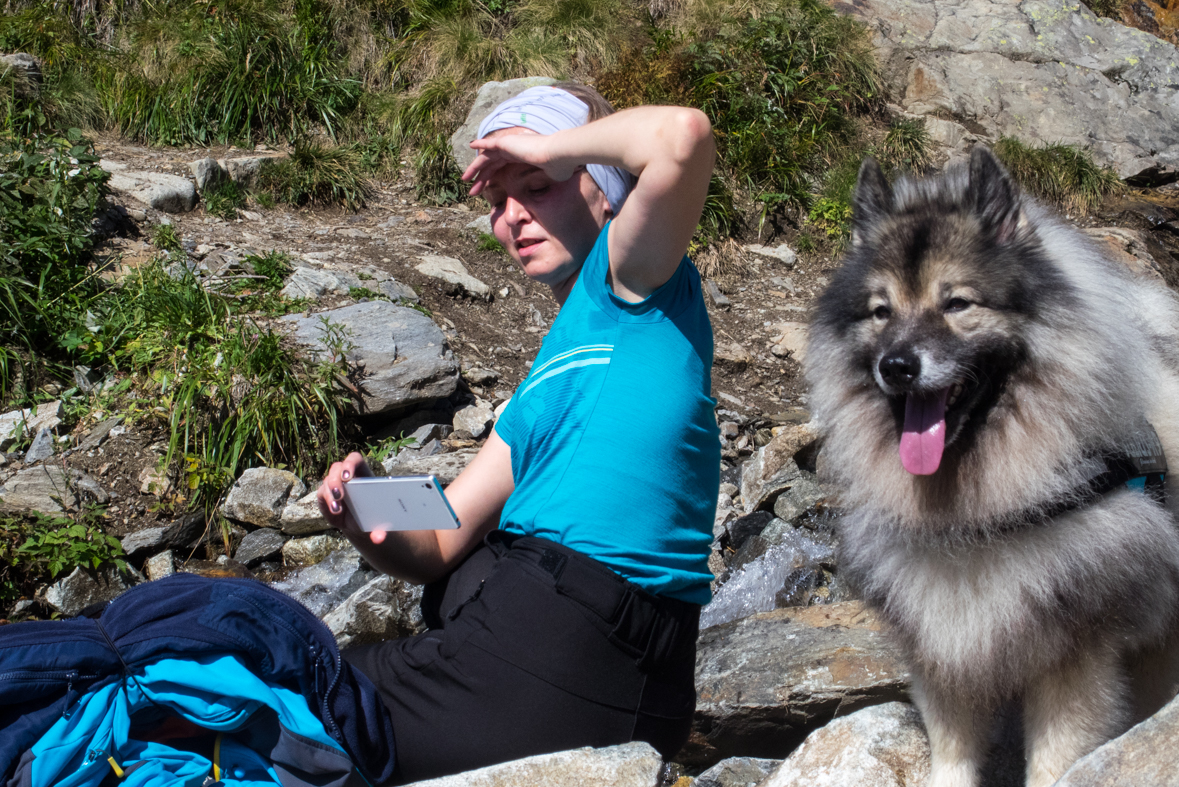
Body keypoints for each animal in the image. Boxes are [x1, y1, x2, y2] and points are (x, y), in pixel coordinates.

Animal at [806, 147, 1179, 787]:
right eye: (881, 312)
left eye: (957, 303)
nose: (896, 366)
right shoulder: (946, 644)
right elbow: (953, 754)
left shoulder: (1077, 658)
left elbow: (1055, 762)